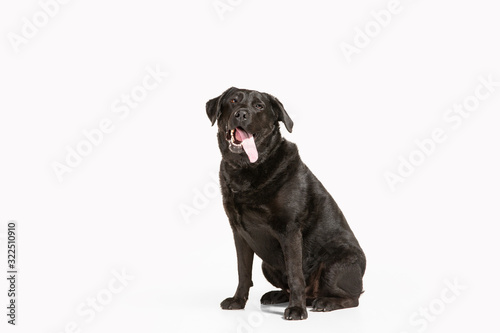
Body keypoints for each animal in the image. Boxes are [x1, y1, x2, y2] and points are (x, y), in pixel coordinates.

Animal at [205, 86, 366, 320]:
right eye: (233, 100)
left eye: (259, 106)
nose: (241, 114)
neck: (247, 168)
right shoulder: (239, 233)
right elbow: (243, 272)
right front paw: (238, 300)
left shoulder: (289, 230)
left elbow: (295, 274)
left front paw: (297, 309)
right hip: (267, 265)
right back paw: (277, 295)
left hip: (336, 263)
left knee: (352, 298)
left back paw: (324, 302)